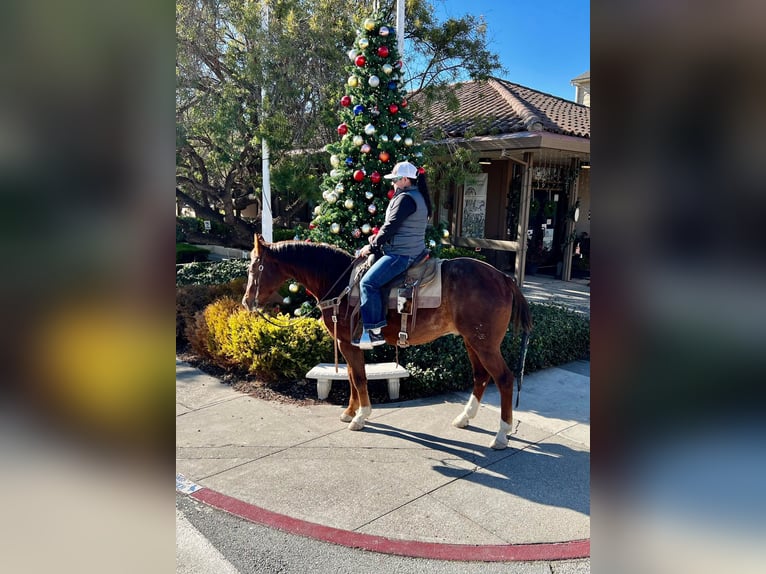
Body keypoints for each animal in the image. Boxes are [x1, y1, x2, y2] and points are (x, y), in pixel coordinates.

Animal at [243, 236, 532, 452]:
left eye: (255, 268)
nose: (247, 302)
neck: (339, 281)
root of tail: (505, 279)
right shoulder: (348, 344)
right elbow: (351, 376)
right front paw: (350, 411)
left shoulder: (348, 343)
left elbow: (359, 378)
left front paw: (361, 416)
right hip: (471, 341)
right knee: (481, 375)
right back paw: (465, 418)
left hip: (484, 344)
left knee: (504, 378)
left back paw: (502, 434)